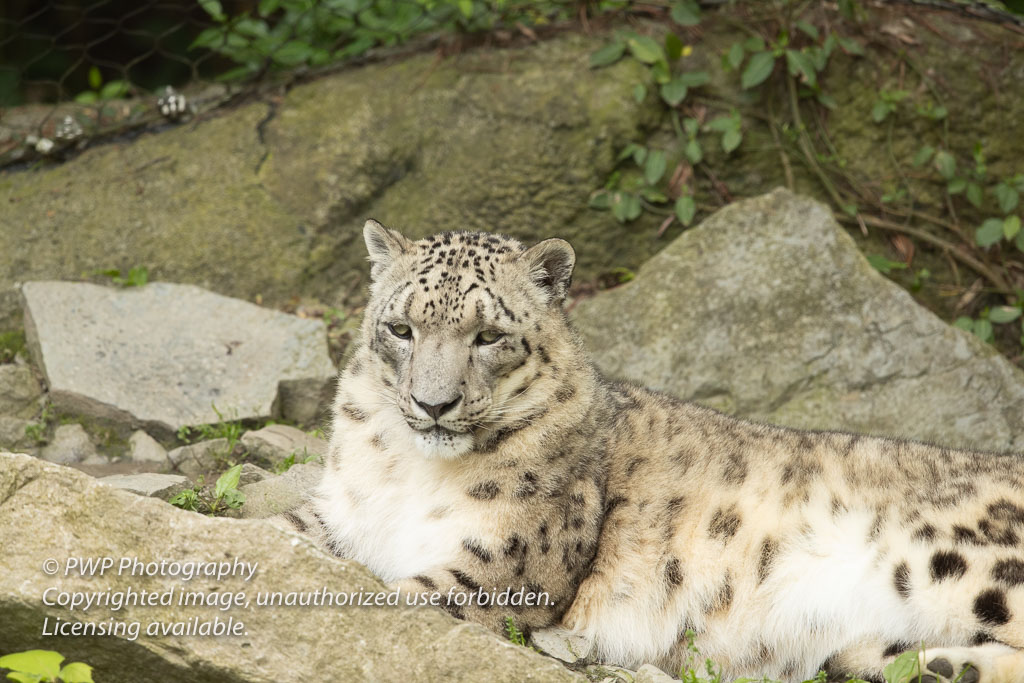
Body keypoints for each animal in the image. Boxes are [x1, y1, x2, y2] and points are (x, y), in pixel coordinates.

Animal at [280, 222, 1024, 679]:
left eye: (489, 336)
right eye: (400, 328)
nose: (433, 404)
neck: (411, 467)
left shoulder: (504, 564)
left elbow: (396, 597)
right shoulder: (341, 516)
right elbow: (284, 532)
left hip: (958, 557)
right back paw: (942, 665)